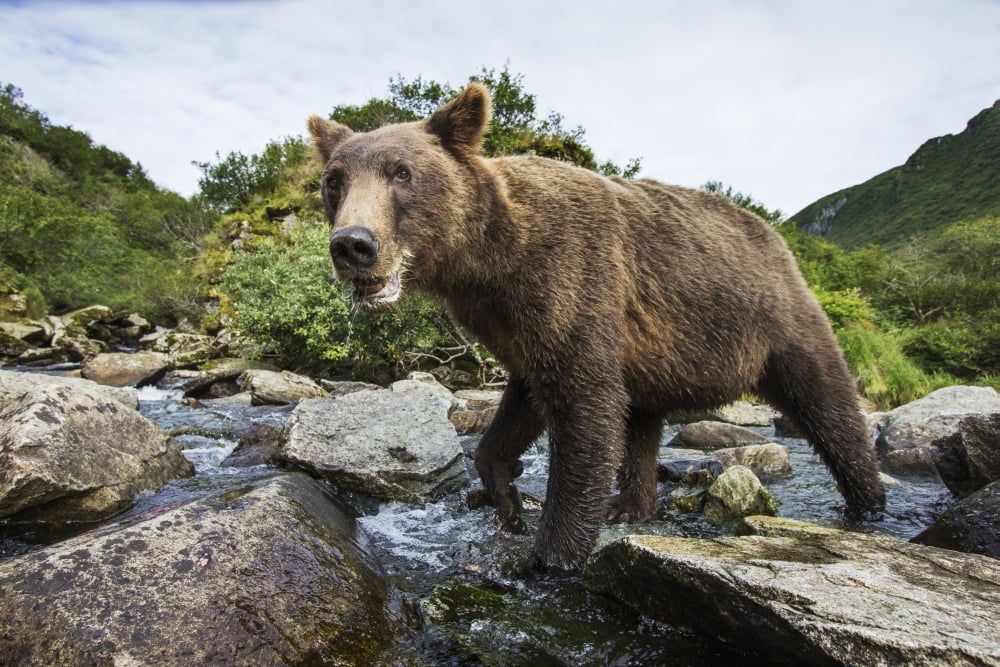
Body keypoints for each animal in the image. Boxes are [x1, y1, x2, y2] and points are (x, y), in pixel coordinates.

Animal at [308, 84, 886, 571]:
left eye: (401, 173)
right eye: (334, 180)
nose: (353, 245)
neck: (486, 260)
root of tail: (775, 235)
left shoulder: (571, 273)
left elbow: (583, 406)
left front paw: (551, 555)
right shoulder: (509, 319)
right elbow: (524, 401)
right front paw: (506, 498)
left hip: (775, 317)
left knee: (827, 404)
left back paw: (868, 505)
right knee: (642, 422)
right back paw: (630, 506)